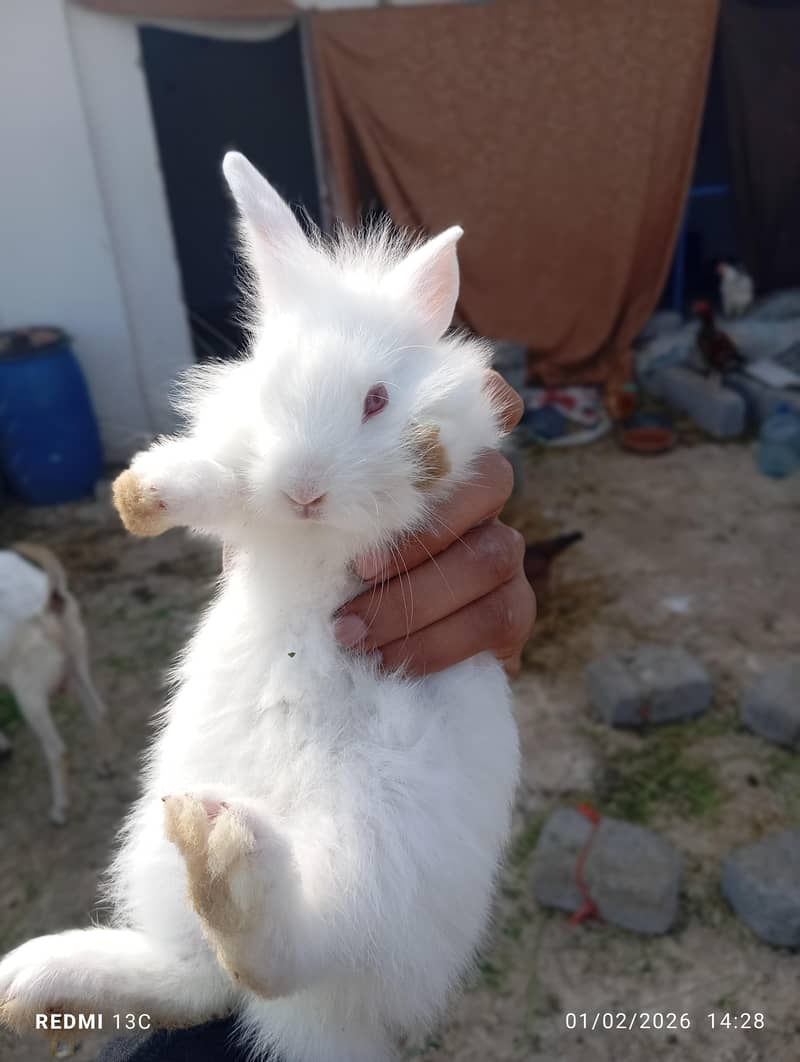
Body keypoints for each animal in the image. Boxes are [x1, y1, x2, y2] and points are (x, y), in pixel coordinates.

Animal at [0, 153, 519, 1062]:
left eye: (377, 400)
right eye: (271, 389)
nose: (304, 488)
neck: (309, 539)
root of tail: (327, 1029)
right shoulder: (251, 506)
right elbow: (228, 486)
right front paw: (143, 494)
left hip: (379, 840)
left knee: (286, 956)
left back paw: (231, 864)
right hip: (154, 845)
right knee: (201, 979)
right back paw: (37, 977)